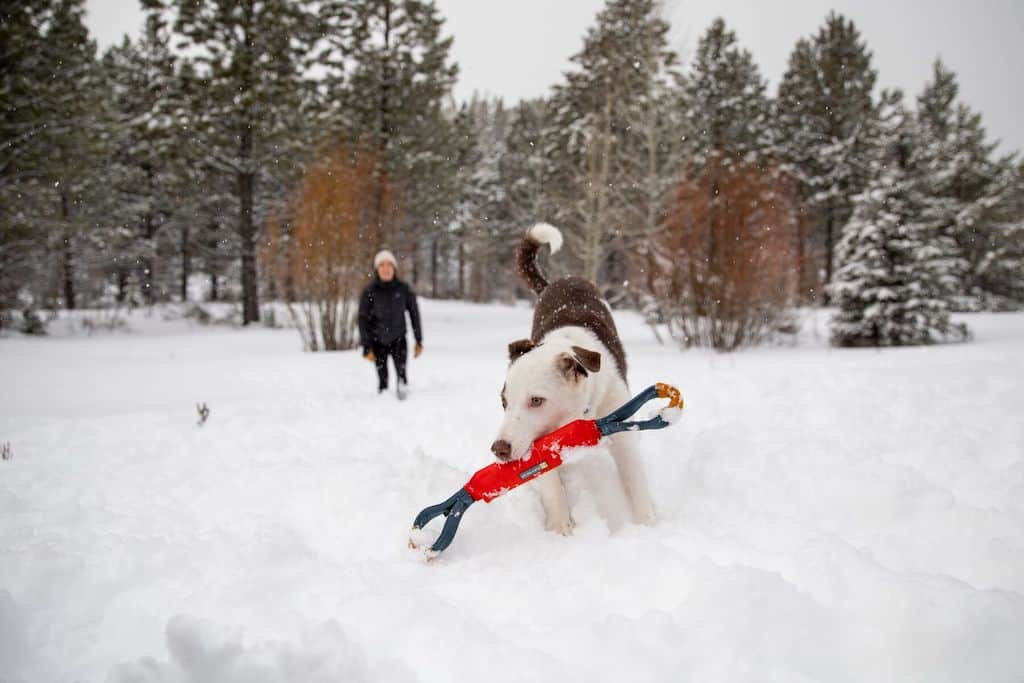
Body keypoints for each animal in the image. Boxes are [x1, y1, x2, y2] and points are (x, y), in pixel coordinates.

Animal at [493, 224, 655, 532]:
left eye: (536, 400)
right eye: (504, 402)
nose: (499, 449)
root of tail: (560, 280)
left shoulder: (621, 430)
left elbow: (636, 481)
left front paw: (648, 525)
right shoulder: (541, 445)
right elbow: (552, 486)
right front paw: (560, 529)